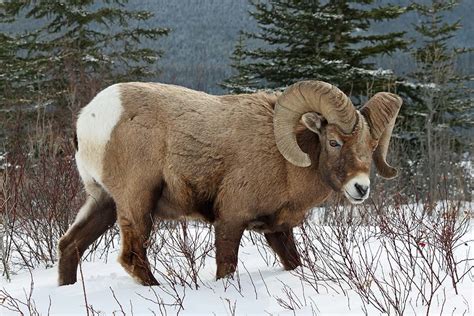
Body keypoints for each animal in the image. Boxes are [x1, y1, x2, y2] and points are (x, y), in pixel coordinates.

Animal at [57, 80, 402, 286]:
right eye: (333, 141)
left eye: (371, 145)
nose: (361, 188)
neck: (284, 162)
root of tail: (89, 119)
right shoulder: (231, 220)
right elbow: (226, 266)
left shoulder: (277, 230)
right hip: (137, 201)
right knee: (132, 257)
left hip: (103, 202)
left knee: (69, 245)